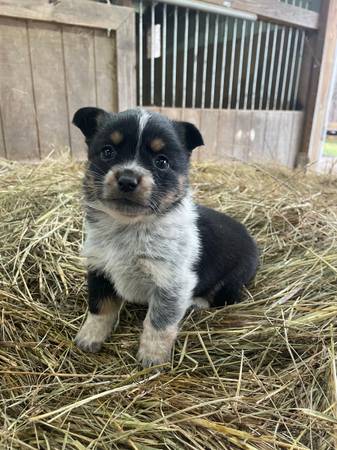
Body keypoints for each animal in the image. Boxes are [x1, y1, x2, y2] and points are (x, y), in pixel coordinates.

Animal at [73, 107, 258, 368]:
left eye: (162, 162)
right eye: (108, 152)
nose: (127, 180)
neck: (130, 227)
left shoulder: (171, 283)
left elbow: (158, 322)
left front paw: (153, 357)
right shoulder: (99, 268)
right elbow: (100, 308)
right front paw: (89, 337)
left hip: (233, 280)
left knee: (222, 298)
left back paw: (196, 303)